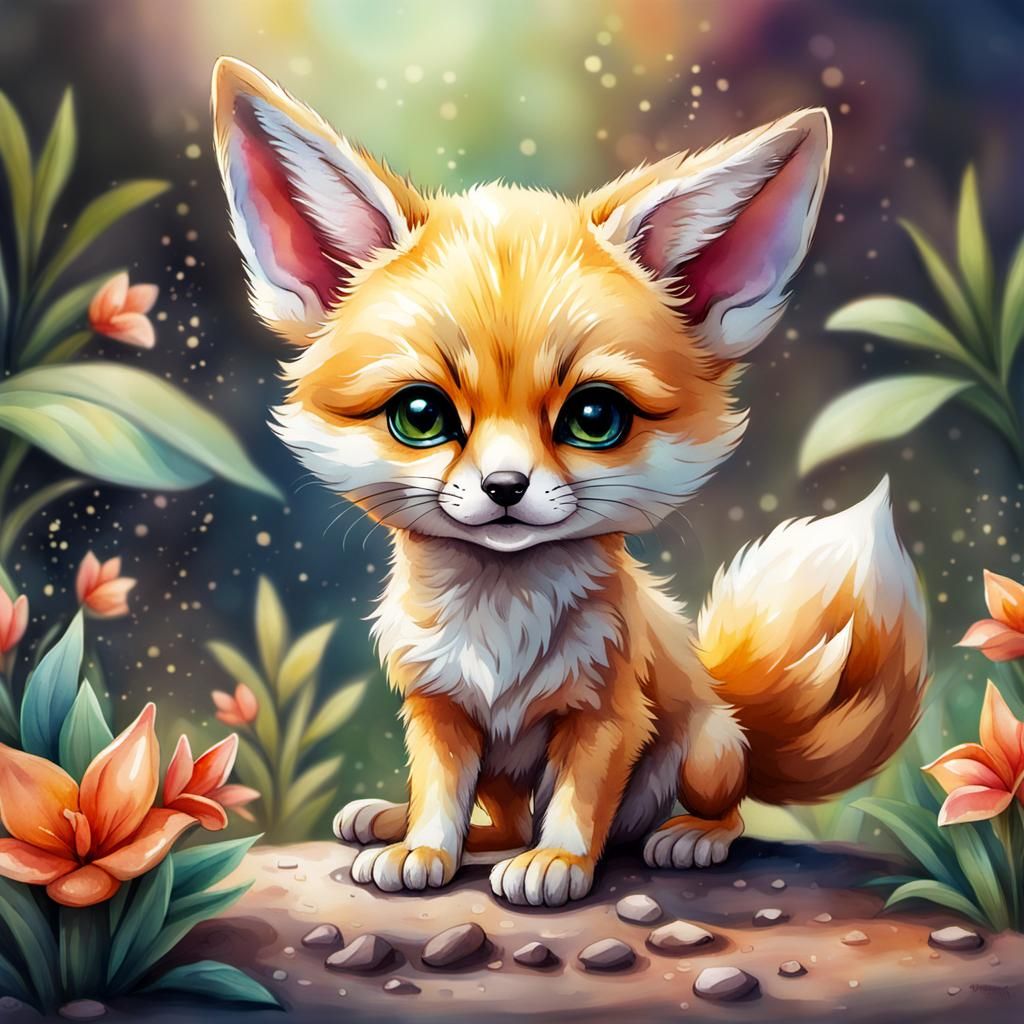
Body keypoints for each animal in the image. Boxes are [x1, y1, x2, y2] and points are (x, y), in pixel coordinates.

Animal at [212, 57, 928, 907]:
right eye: (420, 415)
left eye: (594, 418)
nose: (505, 486)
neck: (499, 619)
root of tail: (727, 698)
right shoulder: (439, 708)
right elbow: (439, 796)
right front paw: (423, 848)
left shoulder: (607, 712)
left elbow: (579, 803)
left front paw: (558, 864)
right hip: (507, 771)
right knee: (499, 820)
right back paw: (393, 821)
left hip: (709, 748)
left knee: (720, 806)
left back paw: (689, 836)